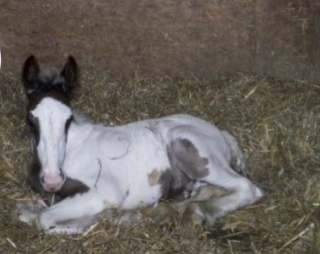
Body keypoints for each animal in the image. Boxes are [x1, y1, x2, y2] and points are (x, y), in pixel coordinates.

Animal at [16, 55, 262, 234]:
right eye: (30, 119)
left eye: (68, 119)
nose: (52, 180)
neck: (72, 149)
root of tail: (220, 133)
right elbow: (29, 214)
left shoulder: (104, 193)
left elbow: (45, 220)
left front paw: (110, 217)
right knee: (206, 191)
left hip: (192, 151)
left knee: (247, 188)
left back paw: (200, 213)